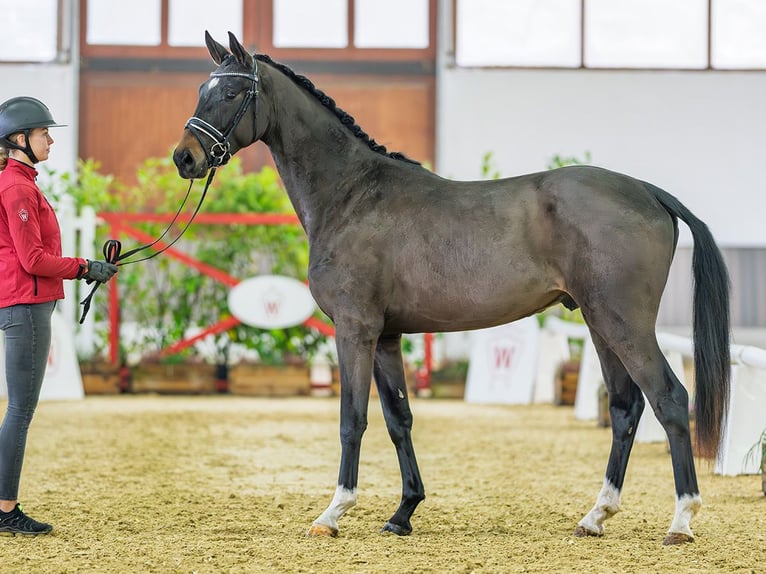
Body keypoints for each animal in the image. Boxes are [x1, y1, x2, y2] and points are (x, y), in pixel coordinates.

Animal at [172, 32, 732, 548]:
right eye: (201, 88)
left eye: (229, 93)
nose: (185, 157)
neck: (352, 195)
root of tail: (648, 192)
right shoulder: (387, 336)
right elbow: (399, 418)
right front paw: (403, 512)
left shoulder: (355, 330)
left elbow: (352, 418)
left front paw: (333, 513)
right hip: (599, 322)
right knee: (624, 408)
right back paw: (596, 516)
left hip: (624, 323)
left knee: (670, 399)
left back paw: (681, 521)